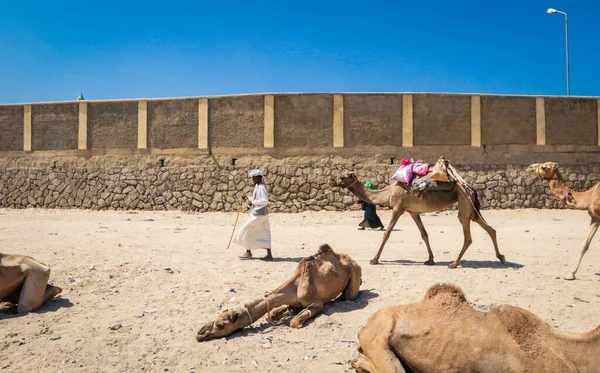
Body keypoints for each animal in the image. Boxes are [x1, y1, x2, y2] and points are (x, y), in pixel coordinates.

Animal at [199, 243, 364, 342]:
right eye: (216, 318)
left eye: (221, 325)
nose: (200, 333)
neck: (293, 287)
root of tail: (352, 260)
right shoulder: (292, 302)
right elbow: (274, 313)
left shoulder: (316, 303)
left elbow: (294, 321)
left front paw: (296, 322)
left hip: (355, 273)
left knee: (350, 295)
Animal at [332, 170, 502, 266]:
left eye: (342, 177)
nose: (333, 181)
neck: (388, 193)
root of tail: (470, 187)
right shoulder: (412, 211)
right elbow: (424, 234)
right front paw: (430, 260)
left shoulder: (398, 208)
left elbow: (387, 234)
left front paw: (374, 259)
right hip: (470, 206)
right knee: (489, 228)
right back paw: (501, 257)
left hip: (464, 200)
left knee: (467, 233)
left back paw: (454, 263)